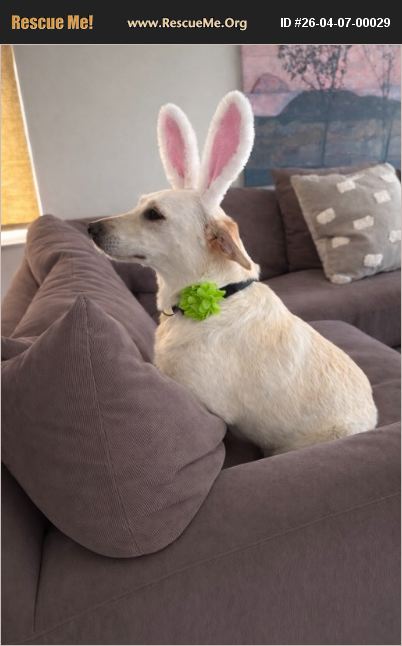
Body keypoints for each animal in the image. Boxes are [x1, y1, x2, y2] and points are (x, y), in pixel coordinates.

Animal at [89, 91, 378, 455]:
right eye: (139, 204)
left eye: (153, 214)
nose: (90, 228)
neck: (217, 295)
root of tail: (374, 421)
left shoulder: (204, 400)